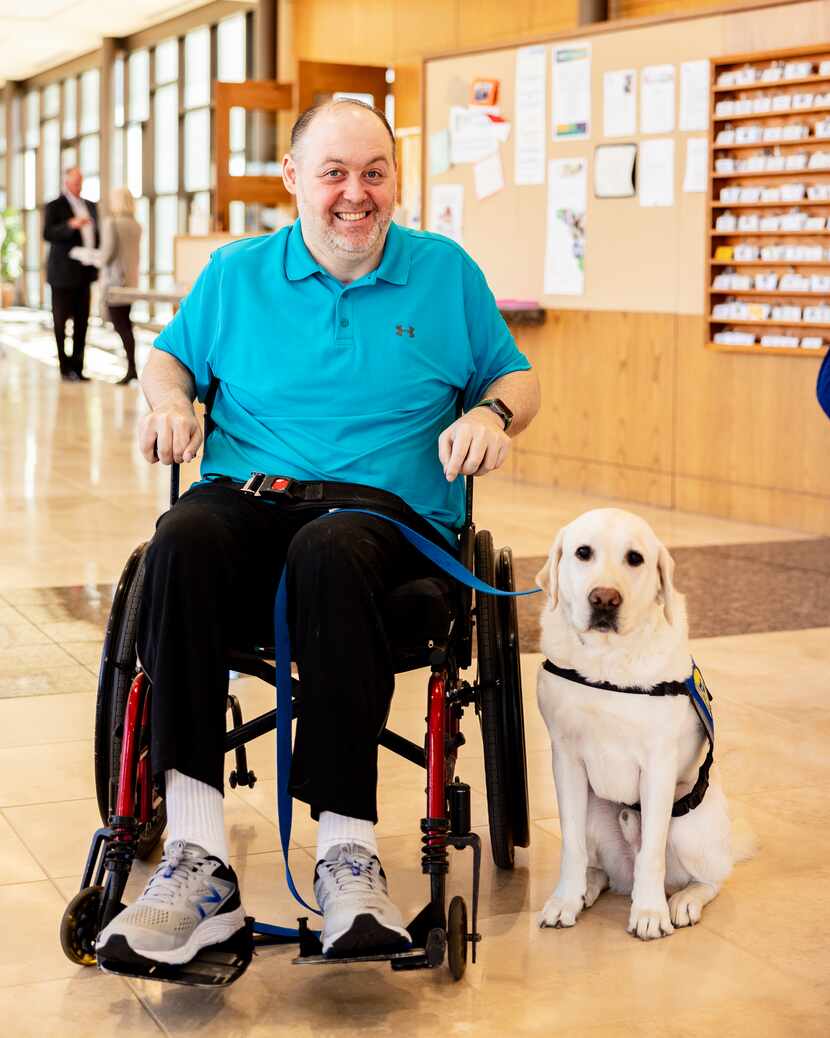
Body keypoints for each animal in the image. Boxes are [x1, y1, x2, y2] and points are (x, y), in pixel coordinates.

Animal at [535, 510, 730, 942]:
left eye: (635, 559)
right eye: (583, 552)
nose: (604, 599)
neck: (607, 664)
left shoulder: (658, 765)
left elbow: (652, 851)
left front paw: (650, 913)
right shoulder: (565, 759)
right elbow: (571, 846)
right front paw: (564, 900)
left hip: (689, 813)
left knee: (711, 878)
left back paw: (683, 900)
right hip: (595, 809)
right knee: (600, 868)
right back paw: (587, 890)